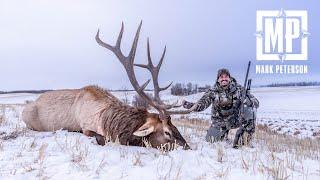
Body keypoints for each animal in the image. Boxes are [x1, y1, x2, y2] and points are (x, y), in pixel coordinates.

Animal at [21, 21, 198, 150]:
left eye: (176, 128)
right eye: (167, 132)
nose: (188, 148)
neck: (107, 120)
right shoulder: (86, 127)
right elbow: (103, 139)